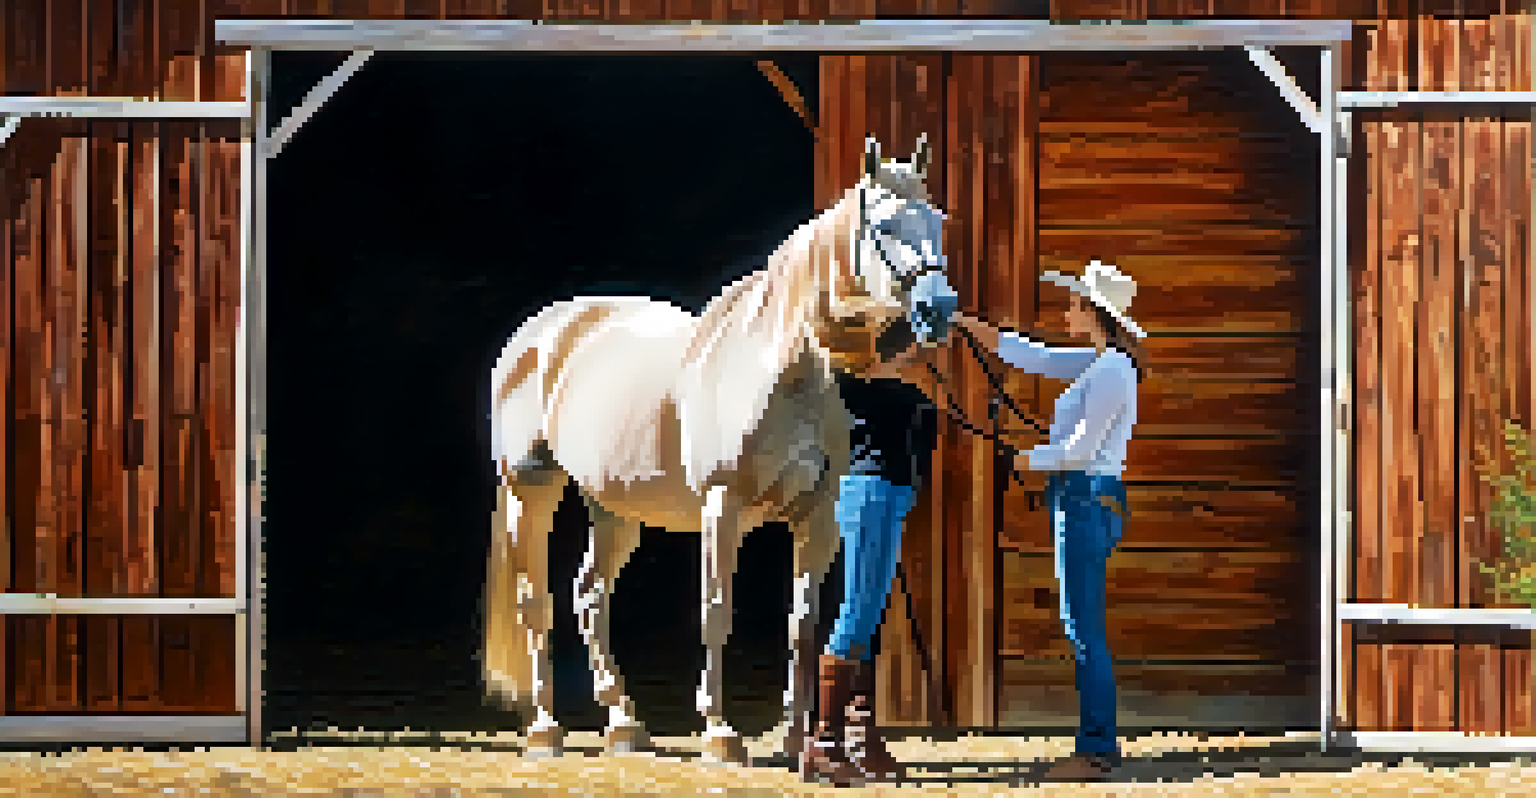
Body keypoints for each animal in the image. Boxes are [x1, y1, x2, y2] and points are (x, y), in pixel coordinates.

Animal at [482, 135, 950, 766]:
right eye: (884, 225)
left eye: (938, 221)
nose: (939, 309)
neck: (779, 367)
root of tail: (540, 332)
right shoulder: (722, 508)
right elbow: (716, 611)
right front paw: (720, 733)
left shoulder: (818, 517)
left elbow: (802, 623)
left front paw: (792, 739)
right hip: (529, 491)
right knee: (537, 600)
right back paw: (545, 730)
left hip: (615, 509)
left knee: (589, 597)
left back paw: (625, 725)